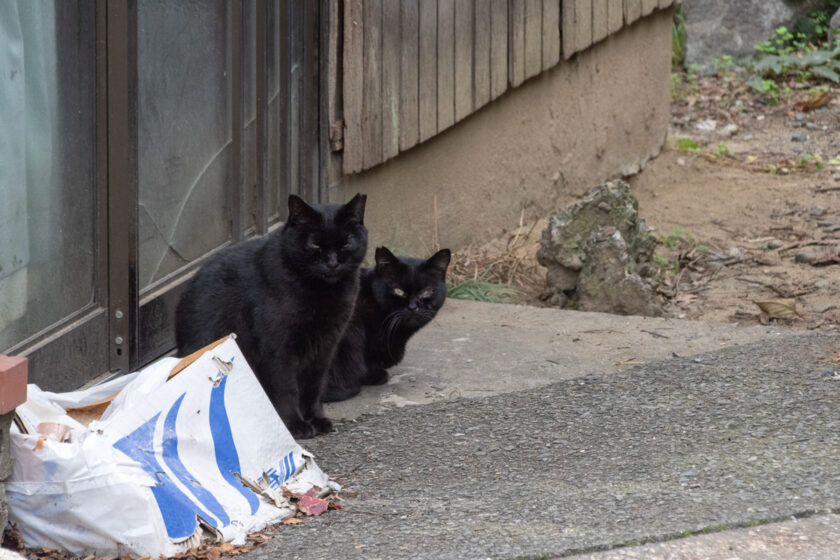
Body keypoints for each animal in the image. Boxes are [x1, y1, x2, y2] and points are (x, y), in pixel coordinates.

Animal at [173, 195, 364, 440]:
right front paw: (295, 426)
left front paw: (316, 419)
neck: (322, 294)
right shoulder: (278, 350)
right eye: (314, 244)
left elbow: (314, 388)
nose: (332, 263)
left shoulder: (325, 348)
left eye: (346, 243)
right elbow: (287, 389)